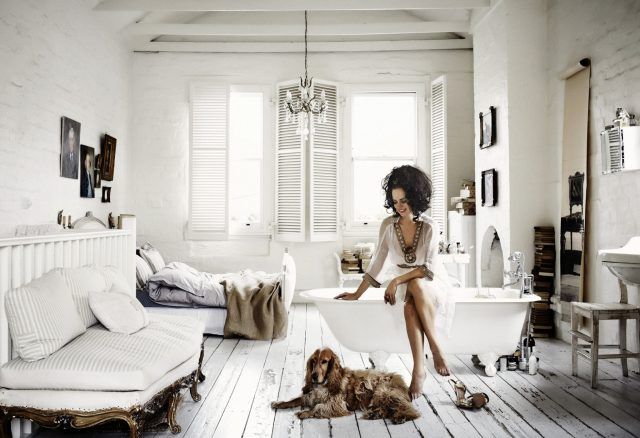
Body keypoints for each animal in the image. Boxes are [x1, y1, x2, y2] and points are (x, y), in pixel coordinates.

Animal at [270, 348, 420, 422]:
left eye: (324, 361)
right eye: (313, 361)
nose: (313, 376)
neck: (326, 382)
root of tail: (402, 380)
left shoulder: (337, 404)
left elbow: (318, 407)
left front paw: (305, 412)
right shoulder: (311, 395)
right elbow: (295, 399)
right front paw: (279, 403)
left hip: (383, 391)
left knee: (408, 409)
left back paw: (401, 417)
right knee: (387, 408)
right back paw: (375, 414)